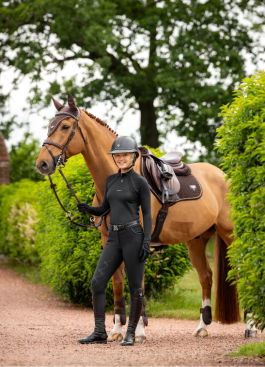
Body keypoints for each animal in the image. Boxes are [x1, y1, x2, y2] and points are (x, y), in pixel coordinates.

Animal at [36, 92, 240, 344]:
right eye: (49, 126)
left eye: (65, 126)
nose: (42, 163)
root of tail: (223, 175)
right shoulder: (109, 240)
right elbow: (117, 284)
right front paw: (115, 330)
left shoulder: (139, 244)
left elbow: (137, 284)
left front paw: (139, 332)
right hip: (196, 240)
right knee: (206, 277)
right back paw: (202, 327)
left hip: (230, 234)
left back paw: (251, 327)